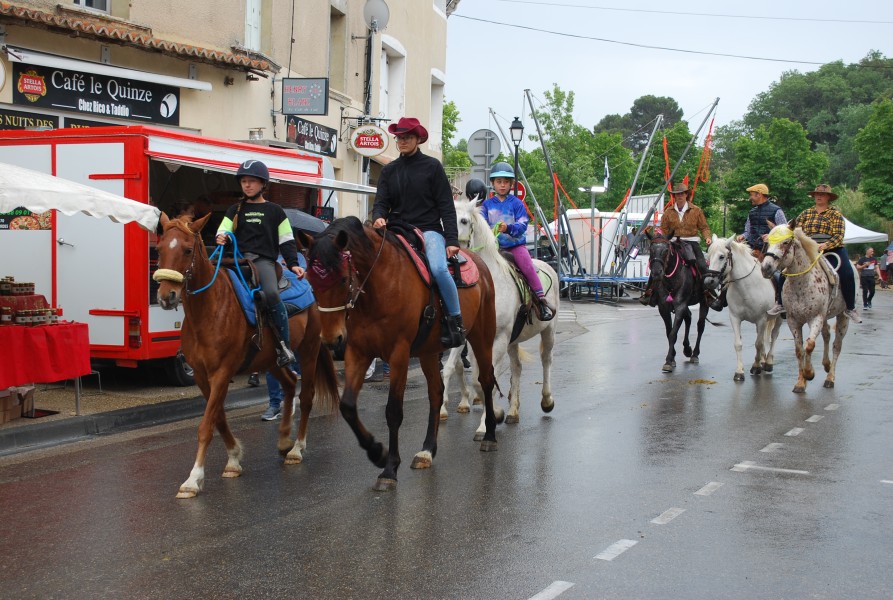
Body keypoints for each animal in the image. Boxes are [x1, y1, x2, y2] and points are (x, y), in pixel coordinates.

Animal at [152, 213, 338, 500]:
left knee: (306, 396)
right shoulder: (203, 376)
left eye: (187, 250)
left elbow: (206, 425)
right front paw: (234, 458)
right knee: (288, 384)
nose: (165, 296)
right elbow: (217, 418)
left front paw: (193, 479)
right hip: (271, 360)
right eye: (159, 249)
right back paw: (284, 439)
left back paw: (296, 448)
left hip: (308, 350)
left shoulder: (222, 372)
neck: (209, 310)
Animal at [302, 217, 502, 492]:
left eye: (343, 279)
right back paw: (427, 451)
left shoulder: (399, 354)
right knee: (436, 392)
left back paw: (489, 434)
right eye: (311, 282)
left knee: (486, 380)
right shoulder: (358, 352)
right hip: (429, 351)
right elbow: (348, 406)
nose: (332, 340)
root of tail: (478, 261)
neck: (379, 286)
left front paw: (389, 468)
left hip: (482, 337)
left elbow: (393, 411)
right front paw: (377, 452)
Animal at [444, 199, 560, 438]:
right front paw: (495, 413)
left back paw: (547, 401)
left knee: (546, 360)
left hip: (548, 331)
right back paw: (513, 411)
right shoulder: (473, 339)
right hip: (513, 341)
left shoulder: (498, 339)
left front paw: (484, 424)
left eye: (464, 220)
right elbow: (475, 376)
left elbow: (486, 377)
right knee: (517, 367)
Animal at [644, 229, 708, 370]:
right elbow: (669, 332)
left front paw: (668, 360)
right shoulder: (664, 308)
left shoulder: (680, 306)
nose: (656, 272)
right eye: (651, 249)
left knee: (700, 326)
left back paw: (695, 354)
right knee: (688, 317)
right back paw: (687, 349)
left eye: (666, 250)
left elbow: (673, 333)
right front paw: (672, 357)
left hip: (704, 302)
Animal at [760, 225, 852, 394]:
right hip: (824, 317)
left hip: (842, 318)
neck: (802, 284)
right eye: (768, 241)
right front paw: (800, 382)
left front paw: (809, 373)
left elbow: (809, 346)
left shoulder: (815, 318)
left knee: (837, 345)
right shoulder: (793, 321)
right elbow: (799, 350)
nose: (766, 267)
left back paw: (830, 378)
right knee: (827, 335)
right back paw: (826, 364)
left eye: (786, 242)